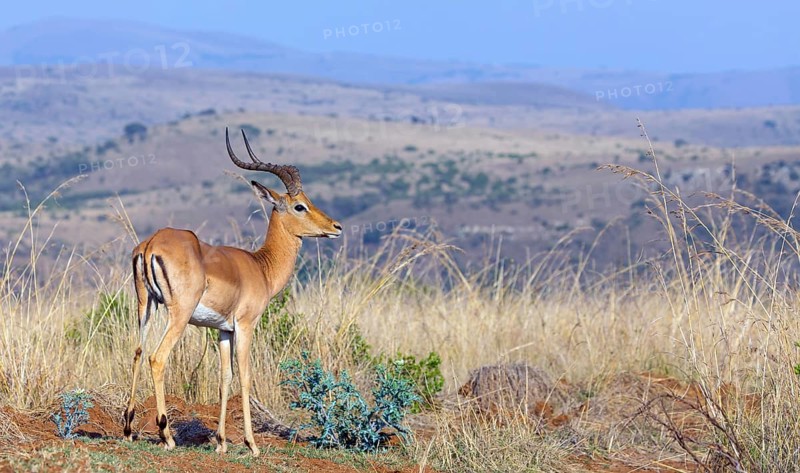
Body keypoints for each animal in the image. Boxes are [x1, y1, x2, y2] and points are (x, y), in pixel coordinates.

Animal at [122, 128, 342, 456]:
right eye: (299, 205)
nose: (336, 226)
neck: (261, 266)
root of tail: (150, 244)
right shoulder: (246, 325)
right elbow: (246, 376)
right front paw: (251, 444)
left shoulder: (223, 330)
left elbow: (225, 378)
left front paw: (222, 442)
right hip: (178, 315)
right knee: (157, 358)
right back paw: (167, 435)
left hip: (144, 307)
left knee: (138, 352)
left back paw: (128, 429)